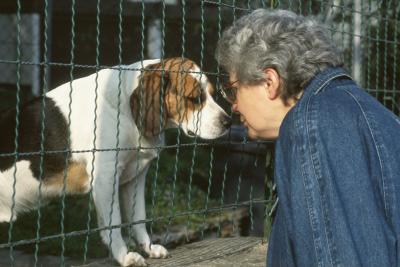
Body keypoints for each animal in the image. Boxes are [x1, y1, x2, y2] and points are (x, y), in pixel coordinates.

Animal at [0, 57, 231, 266]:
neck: (125, 111)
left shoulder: (135, 179)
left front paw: (148, 248)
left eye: (213, 94)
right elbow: (114, 223)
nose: (228, 122)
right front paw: (124, 256)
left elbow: (139, 219)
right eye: (194, 98)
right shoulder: (105, 178)